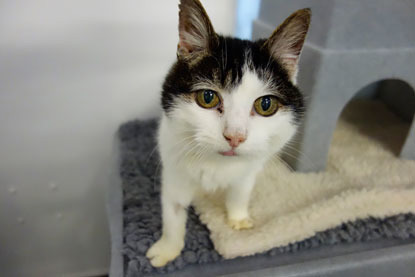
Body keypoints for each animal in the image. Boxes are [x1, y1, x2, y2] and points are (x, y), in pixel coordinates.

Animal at [147, 0, 312, 268]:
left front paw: (238, 218)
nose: (235, 136)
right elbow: (173, 209)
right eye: (207, 97)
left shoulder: (250, 167)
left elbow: (240, 191)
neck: (218, 164)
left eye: (265, 104)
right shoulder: (173, 166)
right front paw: (167, 249)